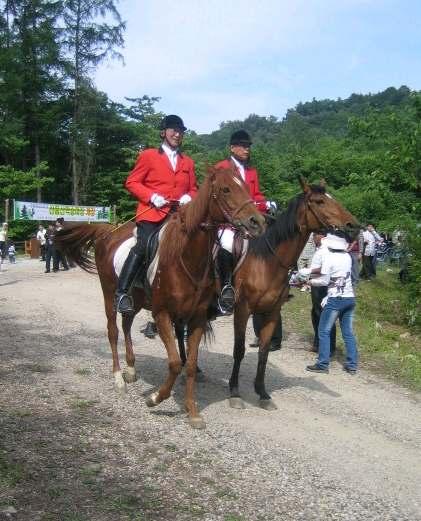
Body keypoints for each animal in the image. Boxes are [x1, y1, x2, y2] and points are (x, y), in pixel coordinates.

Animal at [54, 167, 264, 426]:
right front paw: (155, 398)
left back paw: (131, 369)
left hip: (134, 300)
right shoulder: (162, 314)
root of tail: (108, 231)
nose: (257, 222)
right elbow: (174, 362)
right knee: (113, 331)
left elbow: (190, 364)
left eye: (245, 185)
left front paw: (192, 412)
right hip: (109, 294)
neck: (186, 257)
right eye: (226, 189)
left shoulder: (197, 318)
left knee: (126, 324)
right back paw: (118, 377)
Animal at [226, 179, 358, 410]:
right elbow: (239, 349)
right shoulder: (242, 310)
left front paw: (262, 393)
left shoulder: (271, 312)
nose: (352, 225)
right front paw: (234, 392)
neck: (266, 261)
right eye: (319, 201)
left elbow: (263, 352)